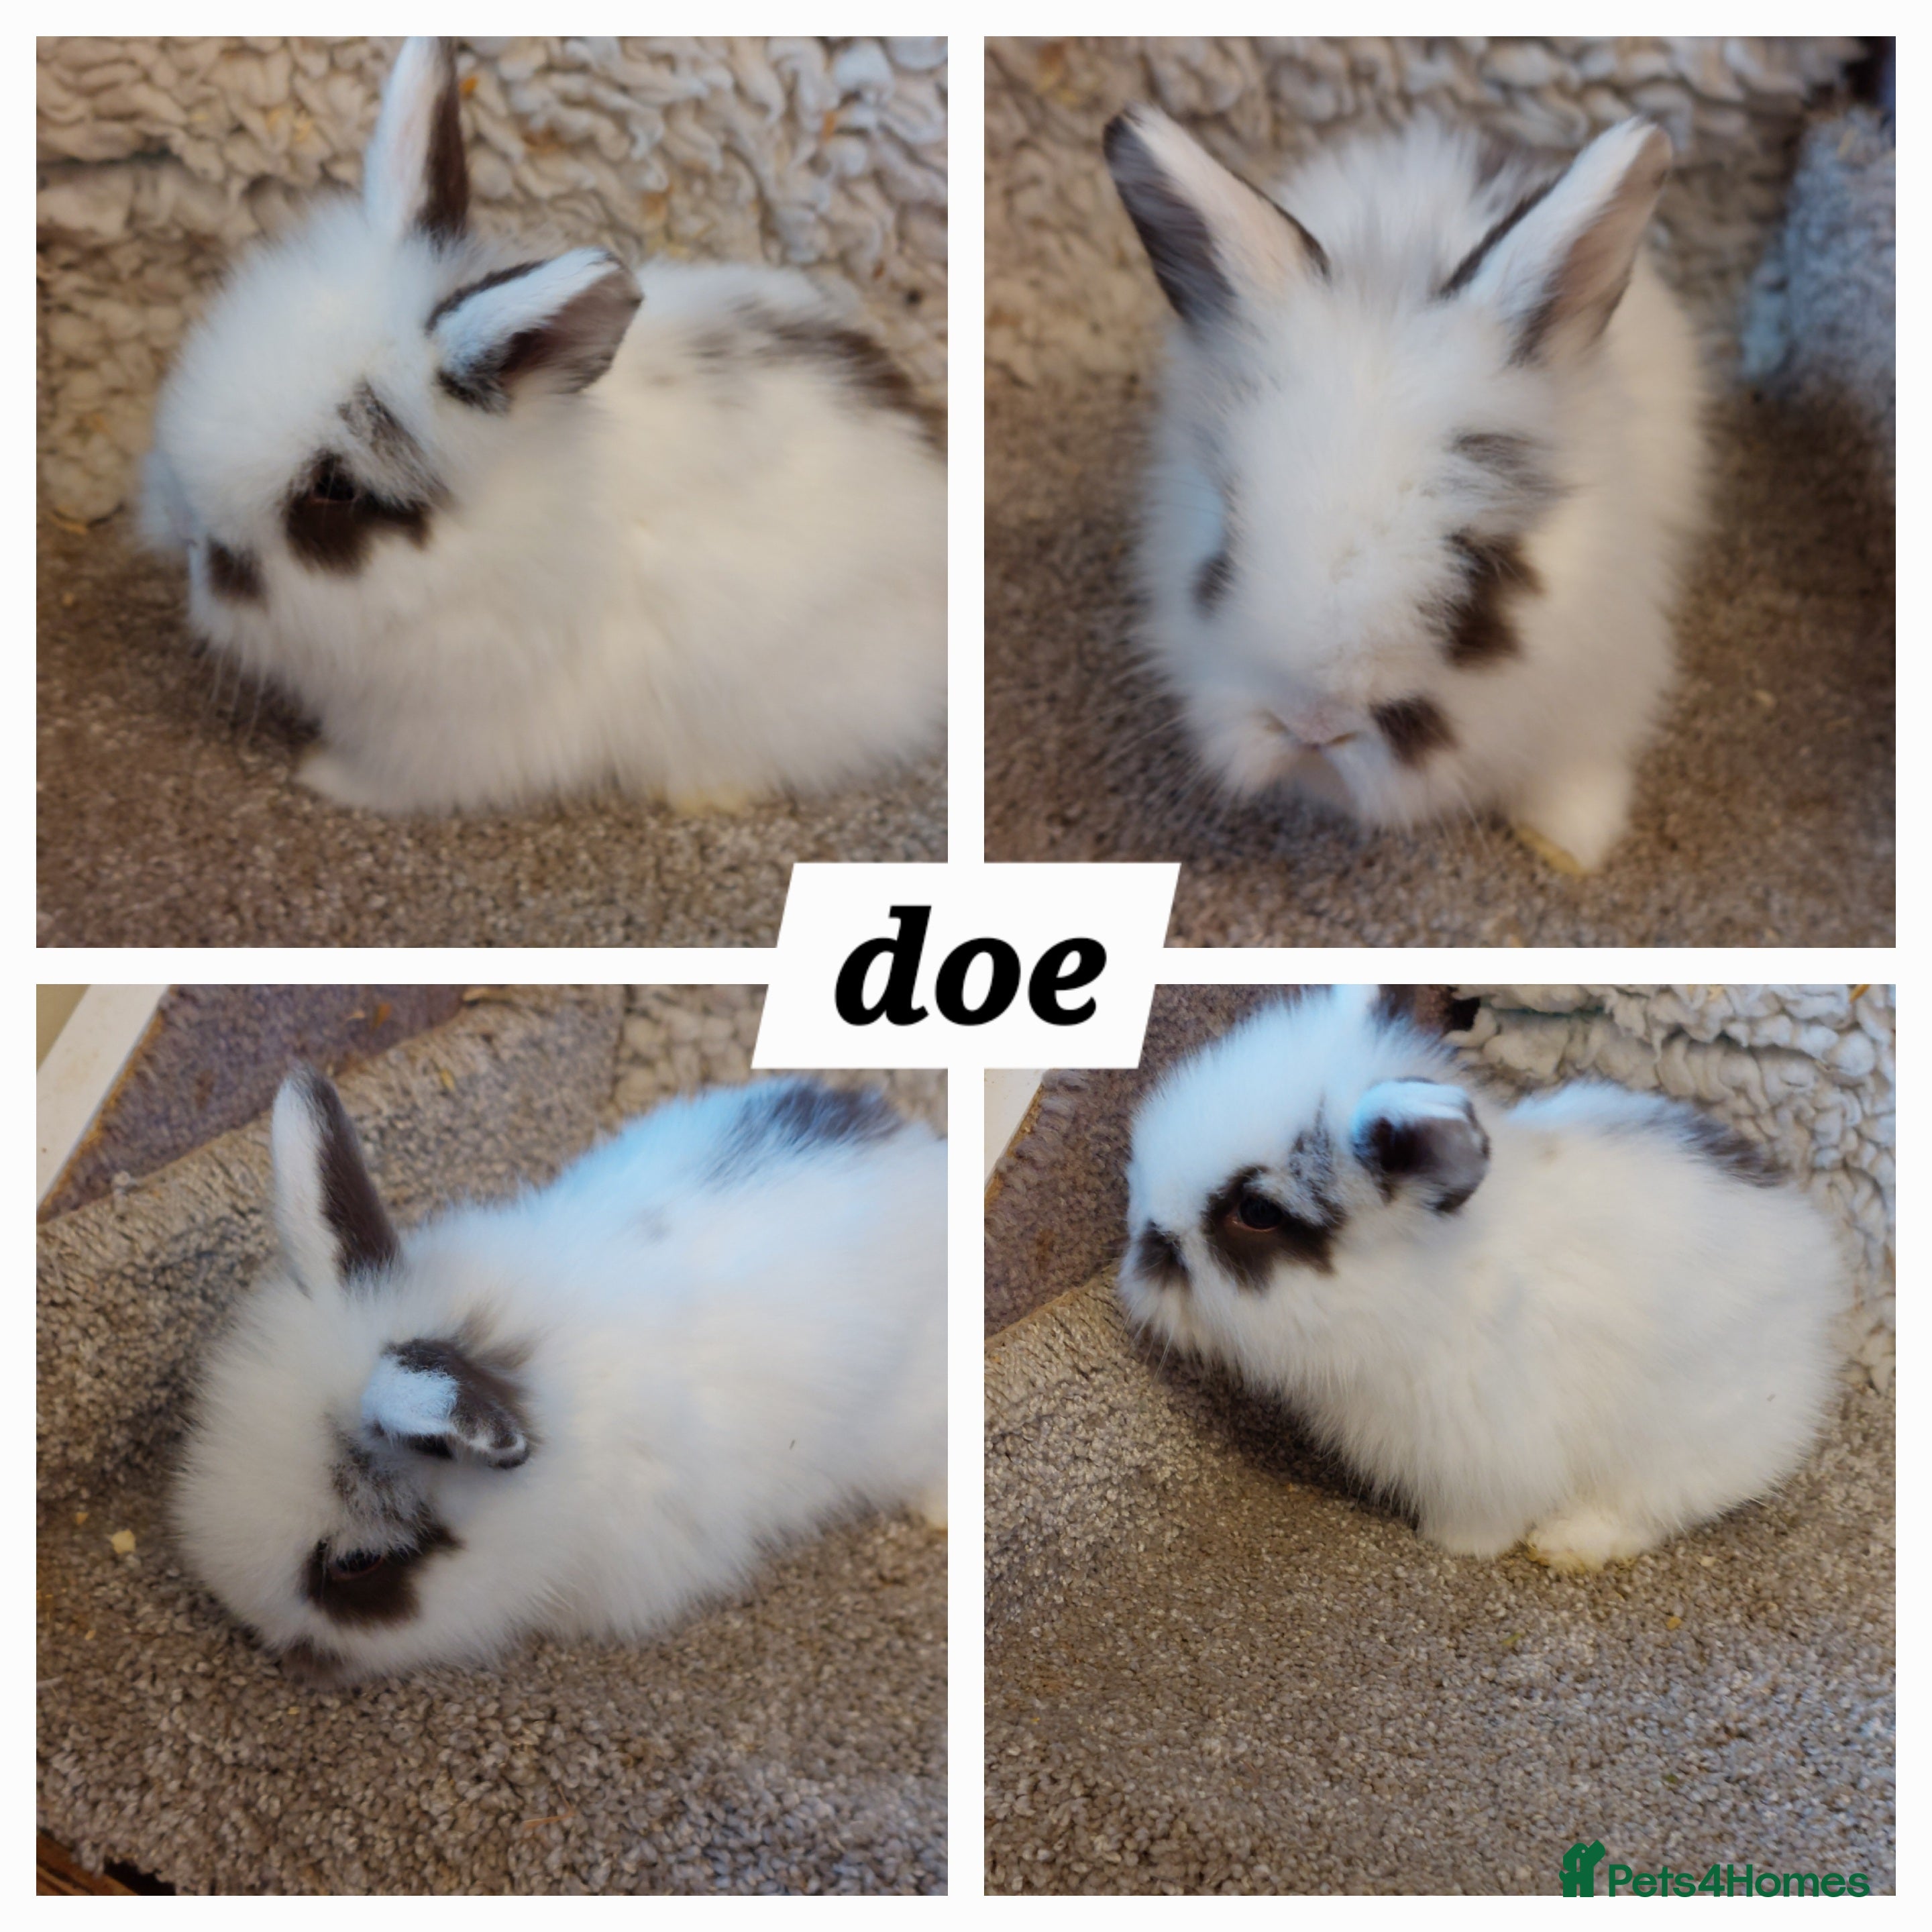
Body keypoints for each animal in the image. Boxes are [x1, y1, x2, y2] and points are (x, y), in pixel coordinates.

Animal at [1119, 986, 1844, 1571]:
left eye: (1259, 1213)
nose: (1142, 1255)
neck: (1419, 1288)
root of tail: (1817, 1273)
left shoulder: (1487, 1450)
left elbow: (1486, 1516)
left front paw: (1454, 1546)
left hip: (1679, 1435)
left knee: (1656, 1505)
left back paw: (1568, 1544)